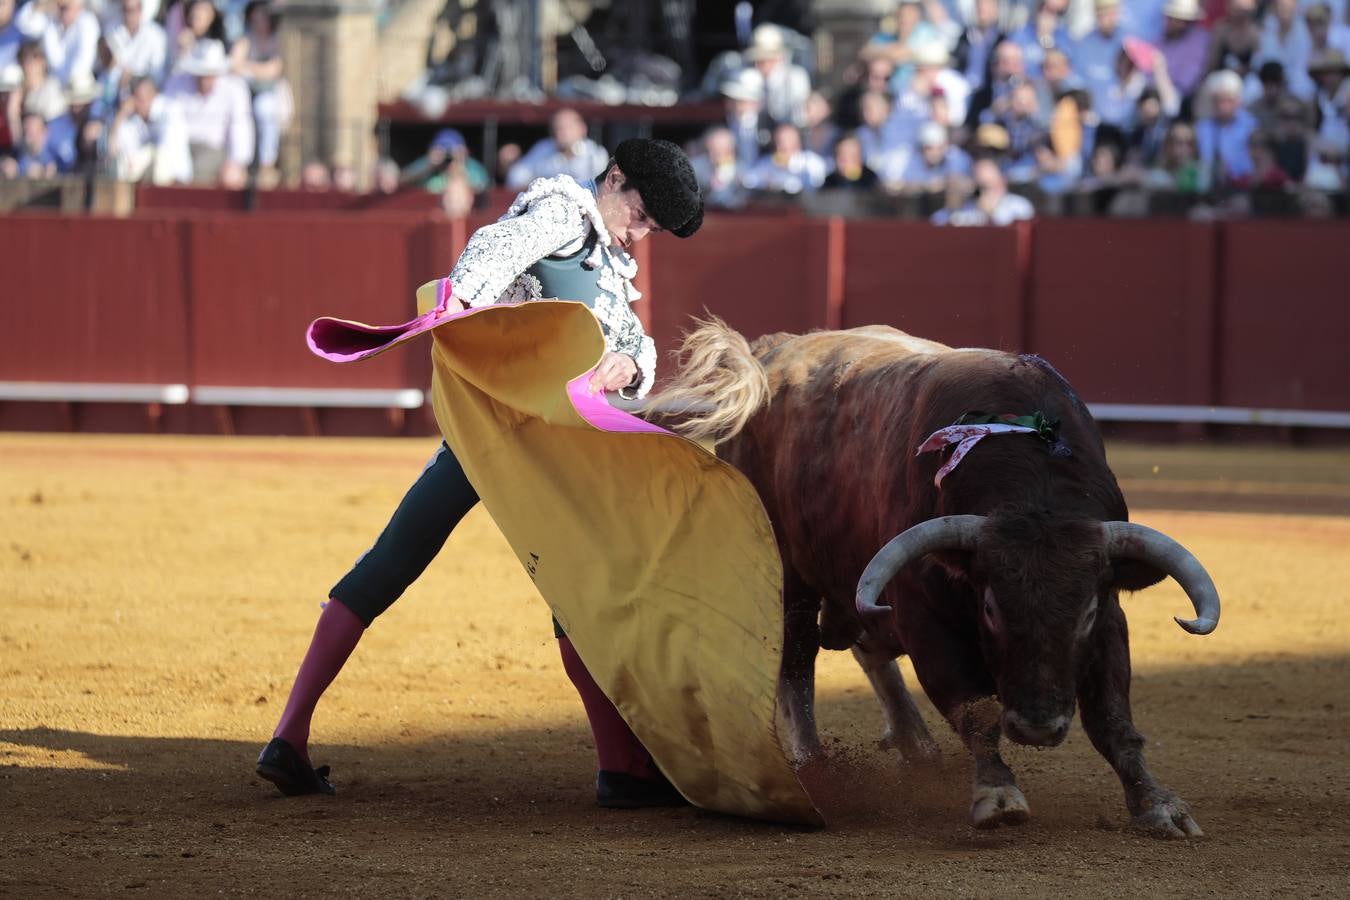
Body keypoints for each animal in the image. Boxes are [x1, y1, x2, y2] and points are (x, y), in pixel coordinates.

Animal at [653, 322, 1225, 836]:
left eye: (1082, 611)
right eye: (990, 607)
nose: (1037, 727)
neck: (1034, 486)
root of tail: (770, 352)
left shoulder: (1108, 618)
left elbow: (1112, 720)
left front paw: (1158, 805)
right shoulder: (925, 619)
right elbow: (976, 710)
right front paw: (997, 794)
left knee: (865, 647)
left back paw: (916, 747)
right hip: (792, 569)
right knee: (798, 658)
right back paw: (816, 765)